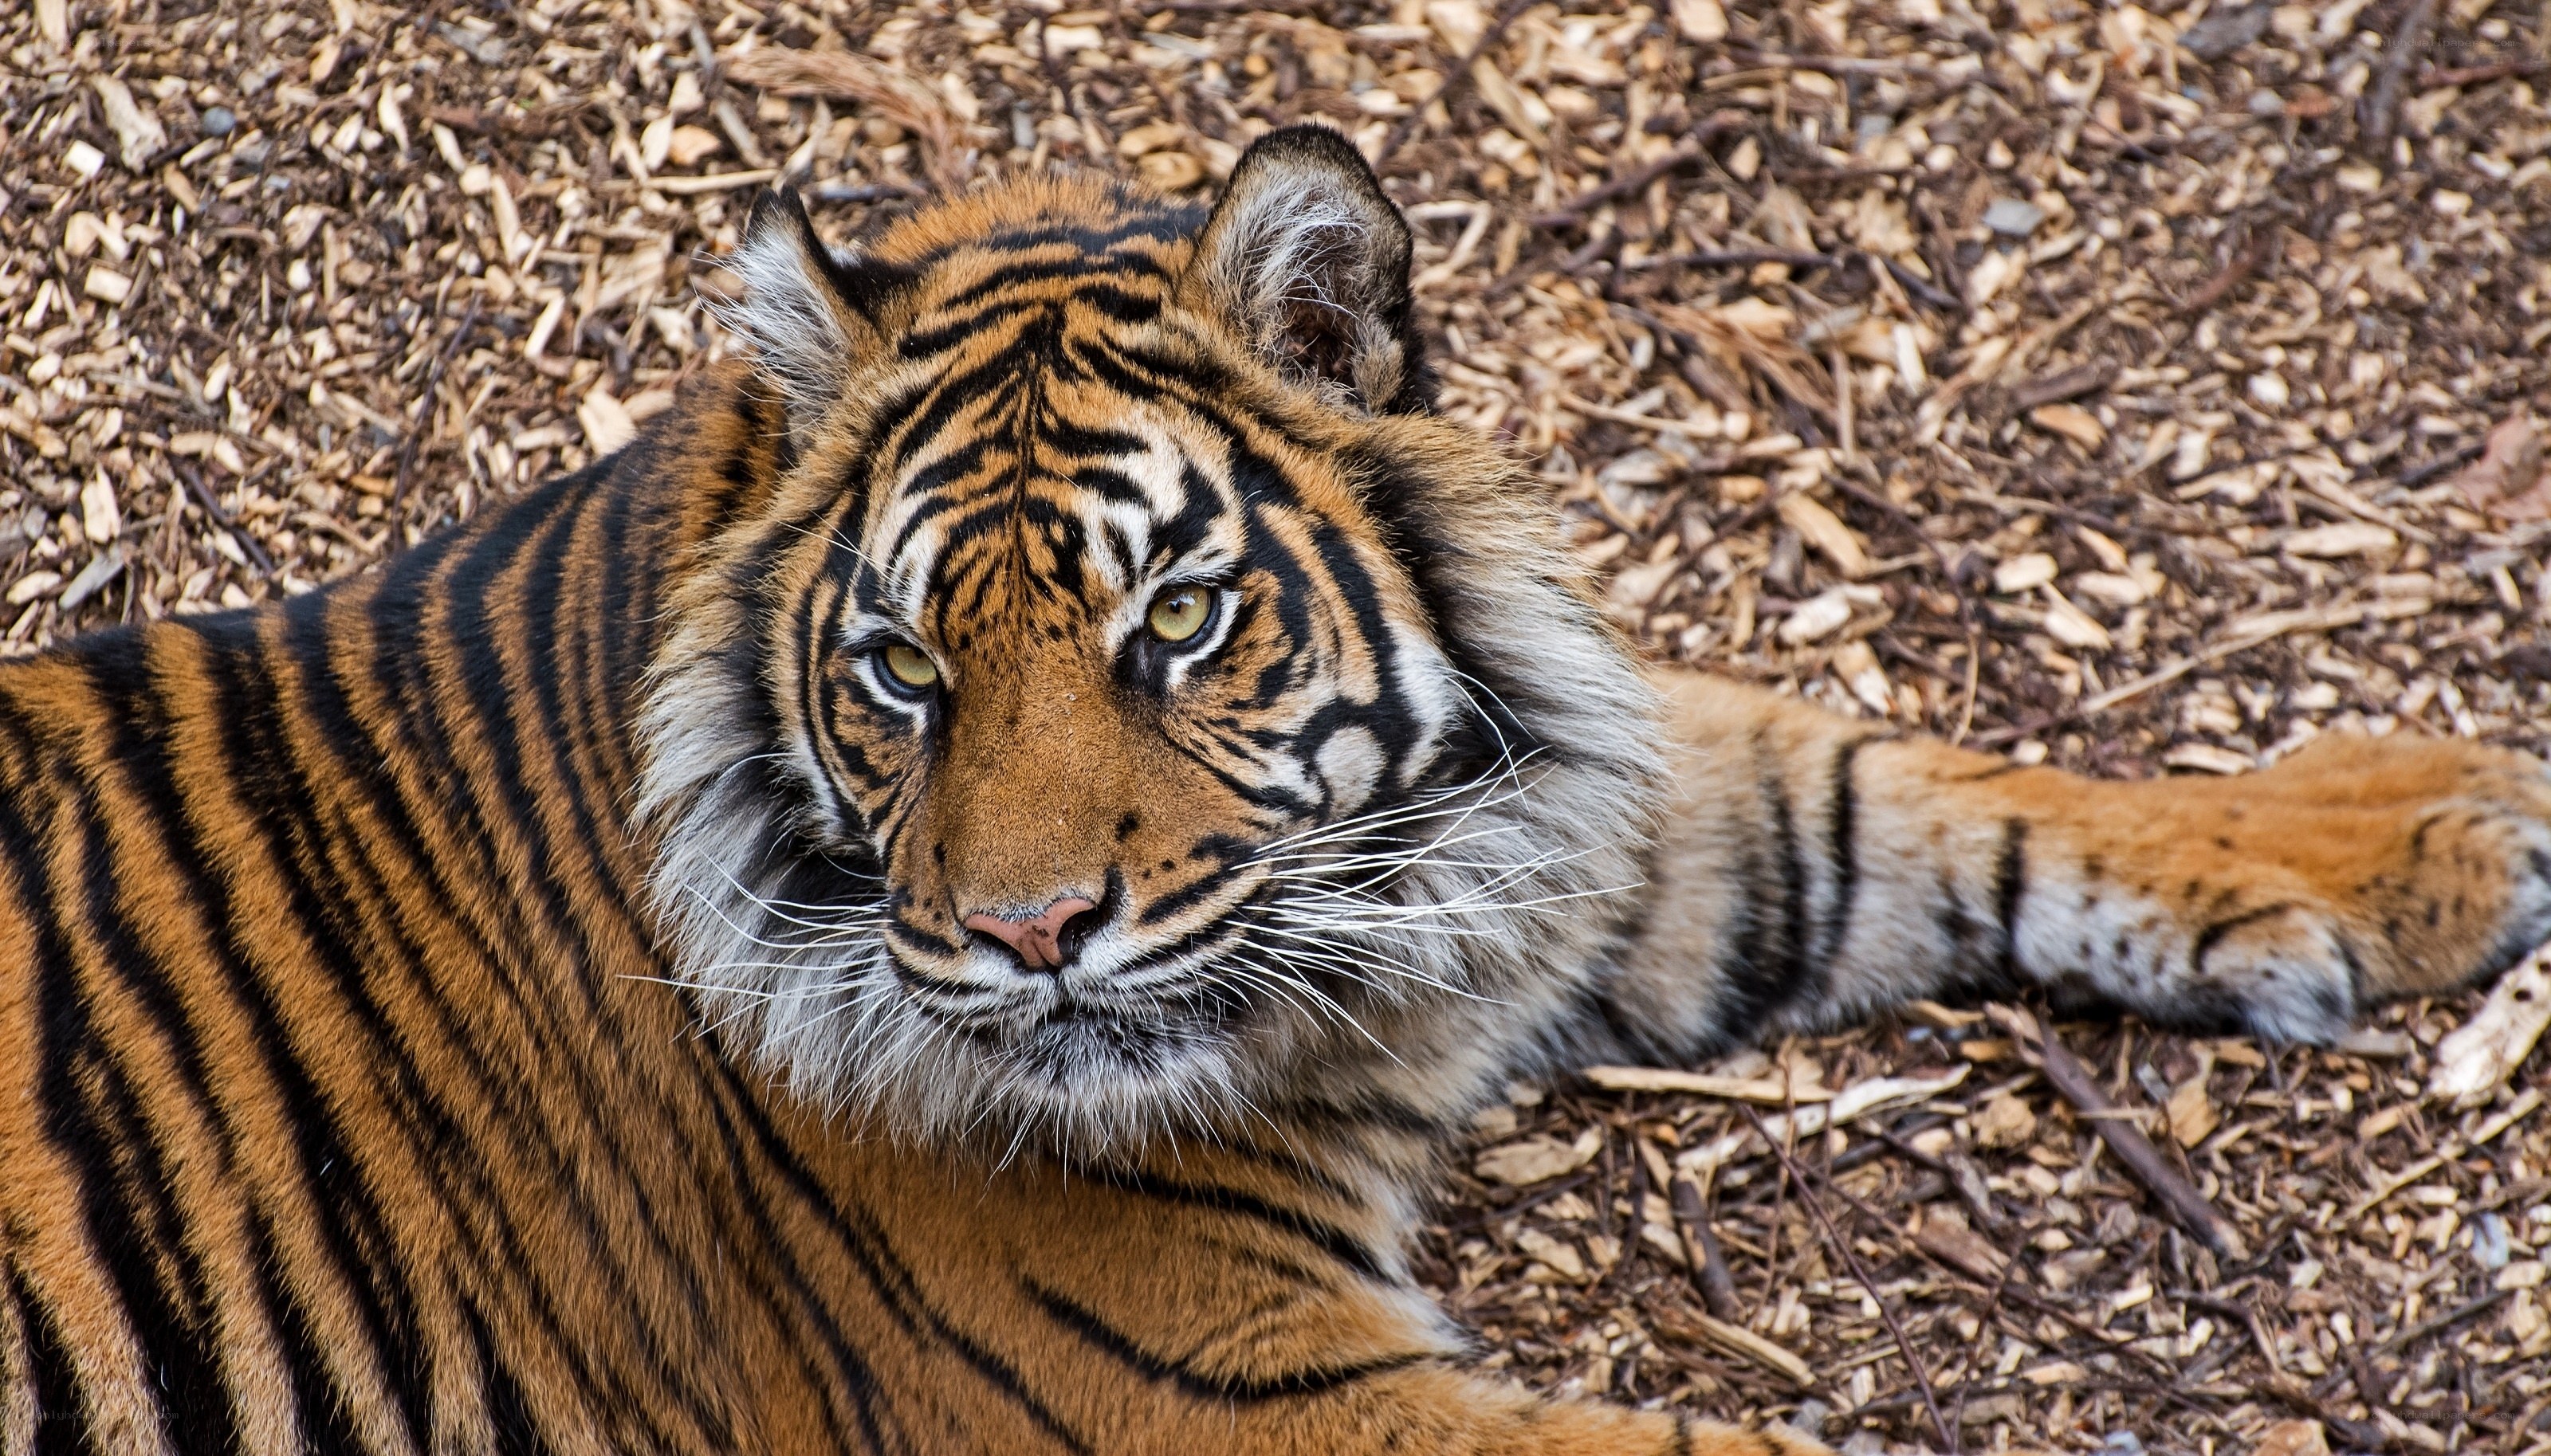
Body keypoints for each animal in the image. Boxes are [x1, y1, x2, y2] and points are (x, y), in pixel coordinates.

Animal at [1, 122, 2546, 1456]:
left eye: (1177, 621)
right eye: (904, 671)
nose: (1030, 937)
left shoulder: (1573, 825)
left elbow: (1894, 786)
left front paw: (2420, 825)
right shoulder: (1238, 1398)